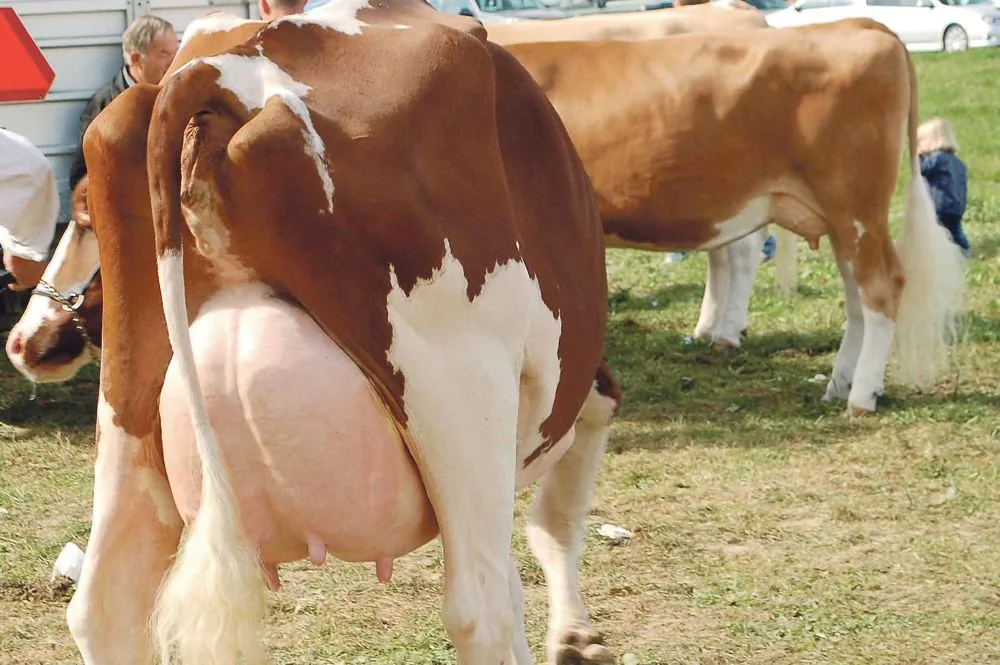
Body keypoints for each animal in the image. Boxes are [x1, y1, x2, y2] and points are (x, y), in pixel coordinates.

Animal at [59, 3, 620, 665]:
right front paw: (576, 636)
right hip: (461, 392)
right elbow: (556, 513)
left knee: (106, 600)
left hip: (128, 405)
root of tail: (226, 67)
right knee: (478, 608)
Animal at [498, 19, 966, 415]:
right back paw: (839, 385)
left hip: (856, 206)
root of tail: (858, 24)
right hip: (842, 221)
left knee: (882, 287)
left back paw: (861, 397)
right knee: (857, 296)